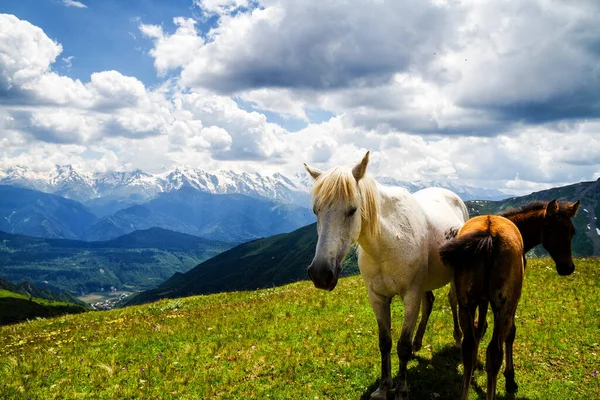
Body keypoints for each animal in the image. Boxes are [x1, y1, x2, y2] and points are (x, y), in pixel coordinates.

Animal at [304, 152, 468, 398]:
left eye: (352, 210)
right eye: (316, 211)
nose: (320, 274)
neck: (388, 242)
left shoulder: (410, 295)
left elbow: (402, 345)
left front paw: (400, 389)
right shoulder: (377, 297)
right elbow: (385, 342)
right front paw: (383, 387)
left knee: (453, 301)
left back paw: (458, 339)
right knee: (429, 303)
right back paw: (418, 343)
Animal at [440, 200, 580, 400]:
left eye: (571, 232)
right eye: (552, 229)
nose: (567, 267)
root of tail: (489, 235)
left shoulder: (481, 300)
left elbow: (479, 328)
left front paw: (474, 369)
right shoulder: (510, 303)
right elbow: (511, 333)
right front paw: (510, 379)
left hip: (466, 304)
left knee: (468, 347)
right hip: (504, 306)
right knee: (494, 353)